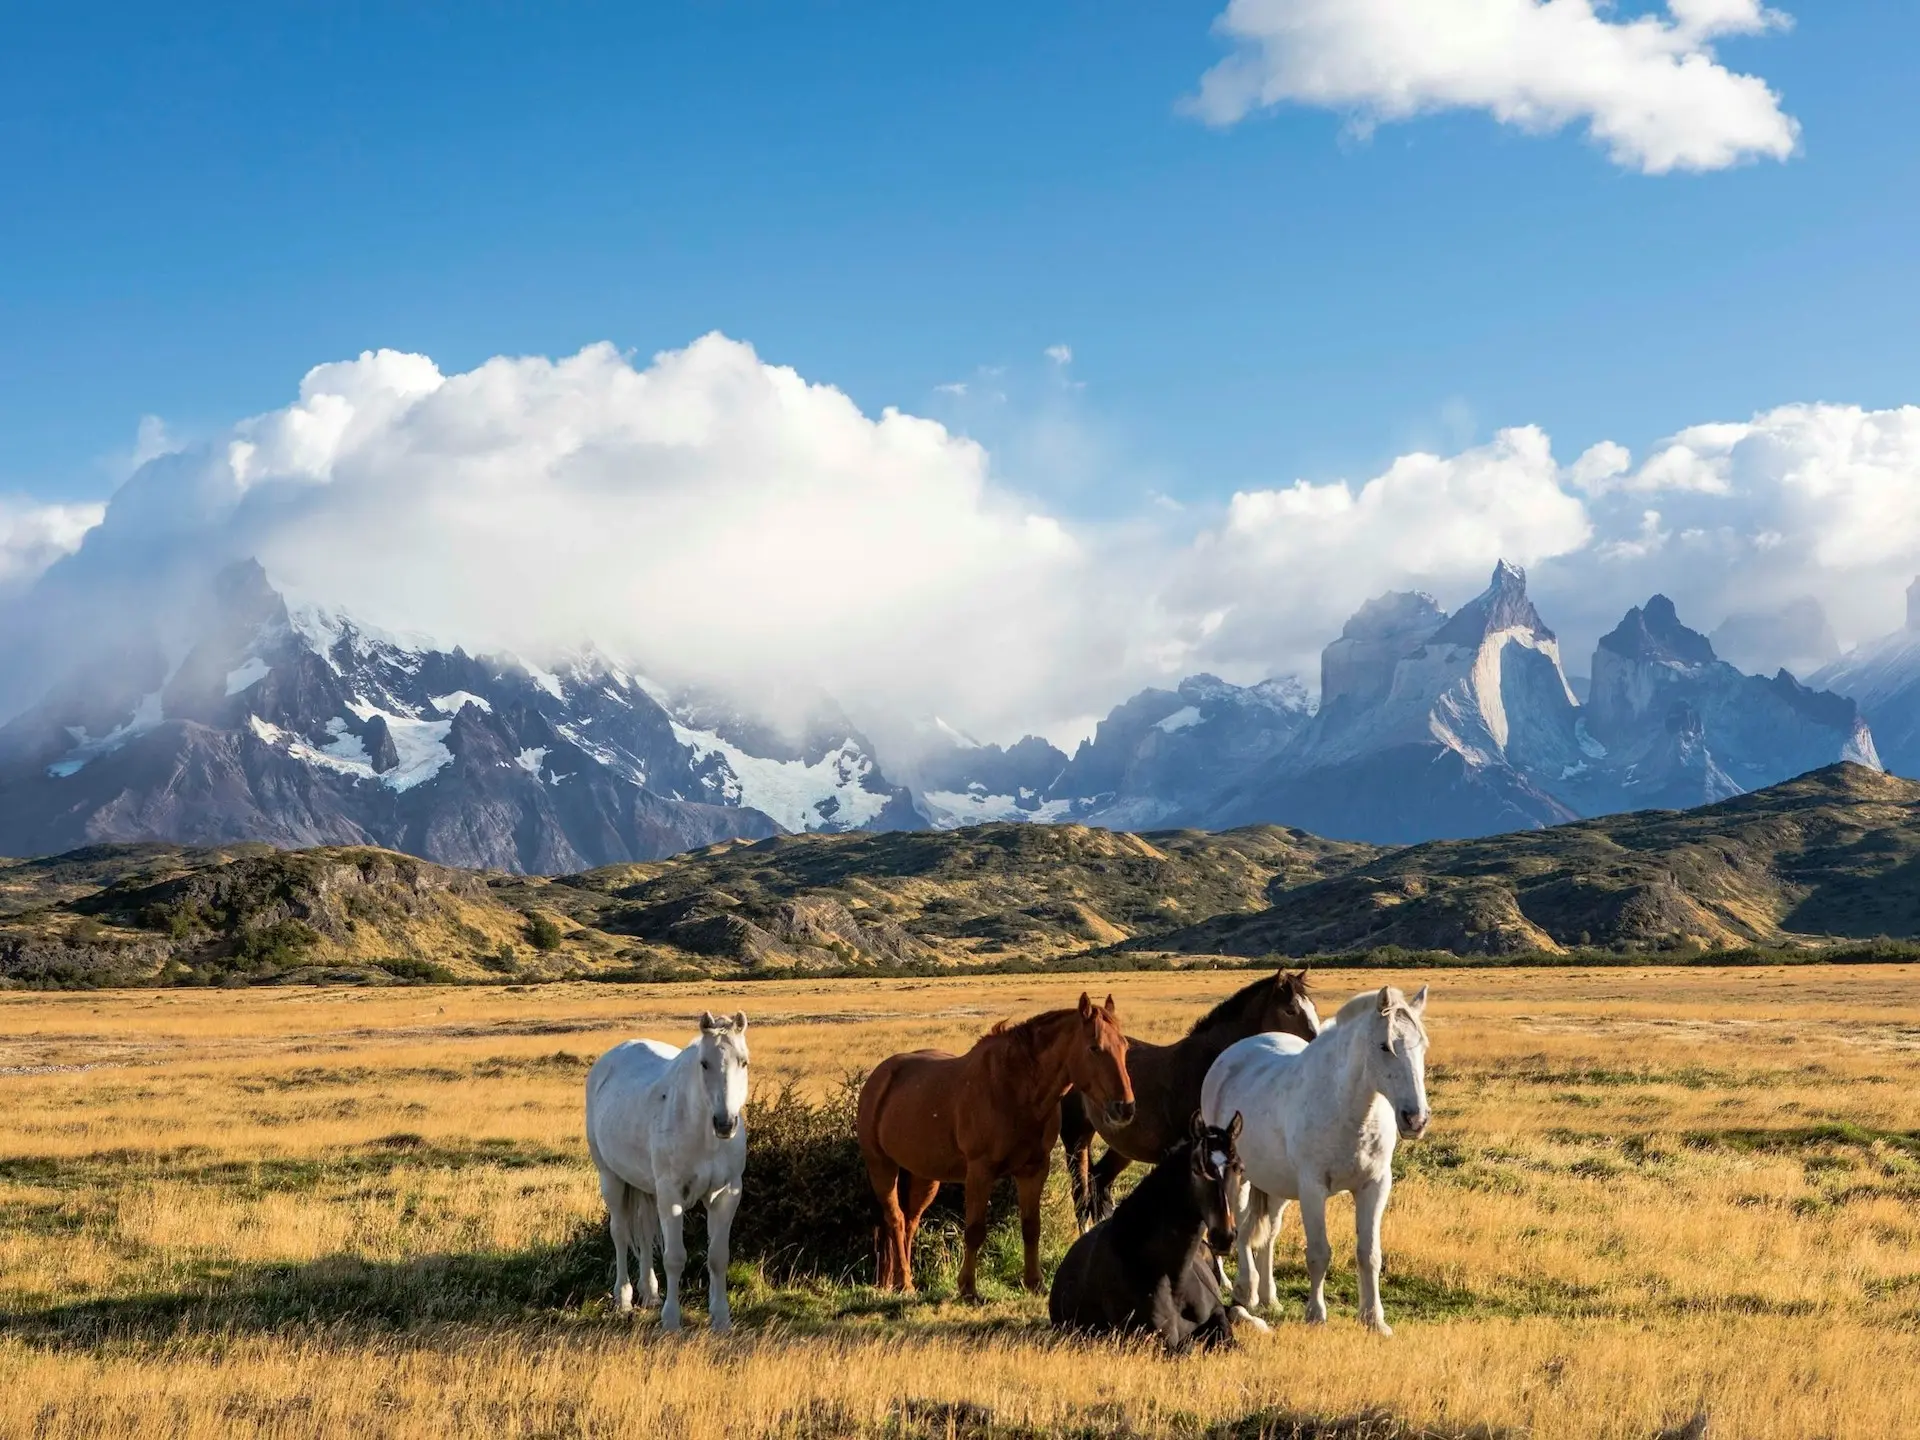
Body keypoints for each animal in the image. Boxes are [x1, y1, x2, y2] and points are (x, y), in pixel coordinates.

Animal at [579, 1013, 744, 1328]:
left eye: (743, 1061)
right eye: (704, 1063)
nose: (725, 1123)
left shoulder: (726, 1194)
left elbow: (718, 1257)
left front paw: (722, 1319)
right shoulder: (671, 1195)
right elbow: (675, 1257)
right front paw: (671, 1320)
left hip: (647, 1188)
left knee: (644, 1233)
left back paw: (650, 1292)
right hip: (611, 1178)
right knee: (620, 1233)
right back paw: (624, 1298)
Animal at [852, 998, 1128, 1305]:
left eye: (1125, 1046)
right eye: (1095, 1047)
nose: (1124, 1107)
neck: (1014, 1089)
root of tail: (879, 1077)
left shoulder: (1034, 1170)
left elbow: (1031, 1227)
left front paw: (1035, 1283)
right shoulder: (980, 1172)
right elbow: (974, 1231)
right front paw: (968, 1289)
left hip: (924, 1176)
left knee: (910, 1222)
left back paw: (899, 1280)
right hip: (882, 1167)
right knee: (896, 1220)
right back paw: (905, 1284)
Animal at [1198, 990, 1428, 1336]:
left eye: (1423, 1046)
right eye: (1384, 1046)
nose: (1416, 1119)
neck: (1349, 1110)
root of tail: (1231, 1055)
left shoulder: (1374, 1186)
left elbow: (1369, 1254)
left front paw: (1374, 1319)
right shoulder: (1313, 1189)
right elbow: (1319, 1253)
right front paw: (1316, 1315)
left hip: (1276, 1185)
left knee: (1267, 1234)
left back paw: (1269, 1298)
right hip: (1240, 1180)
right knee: (1241, 1225)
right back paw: (1246, 1289)